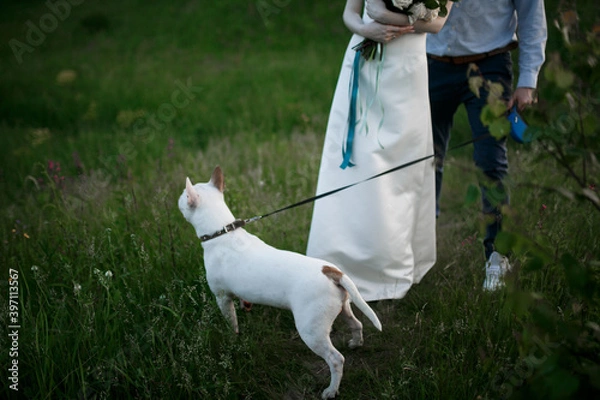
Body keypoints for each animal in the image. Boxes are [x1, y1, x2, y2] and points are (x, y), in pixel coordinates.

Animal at [179, 166, 384, 400]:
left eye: (184, 195)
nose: (178, 198)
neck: (222, 232)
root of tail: (333, 272)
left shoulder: (222, 297)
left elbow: (232, 323)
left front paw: (233, 338)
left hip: (311, 330)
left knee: (335, 359)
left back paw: (331, 390)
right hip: (343, 308)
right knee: (356, 324)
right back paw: (356, 344)